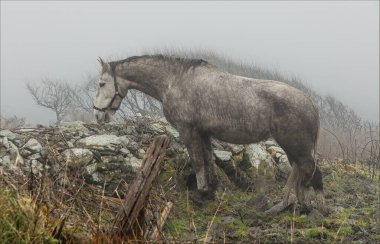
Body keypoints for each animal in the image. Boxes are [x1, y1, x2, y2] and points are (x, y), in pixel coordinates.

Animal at [93, 54, 326, 213]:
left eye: (102, 83)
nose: (97, 114)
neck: (175, 81)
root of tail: (311, 103)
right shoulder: (203, 133)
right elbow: (207, 160)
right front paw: (212, 190)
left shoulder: (188, 130)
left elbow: (197, 161)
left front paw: (202, 192)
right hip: (293, 148)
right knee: (301, 172)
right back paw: (294, 203)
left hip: (296, 146)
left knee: (310, 171)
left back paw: (312, 207)